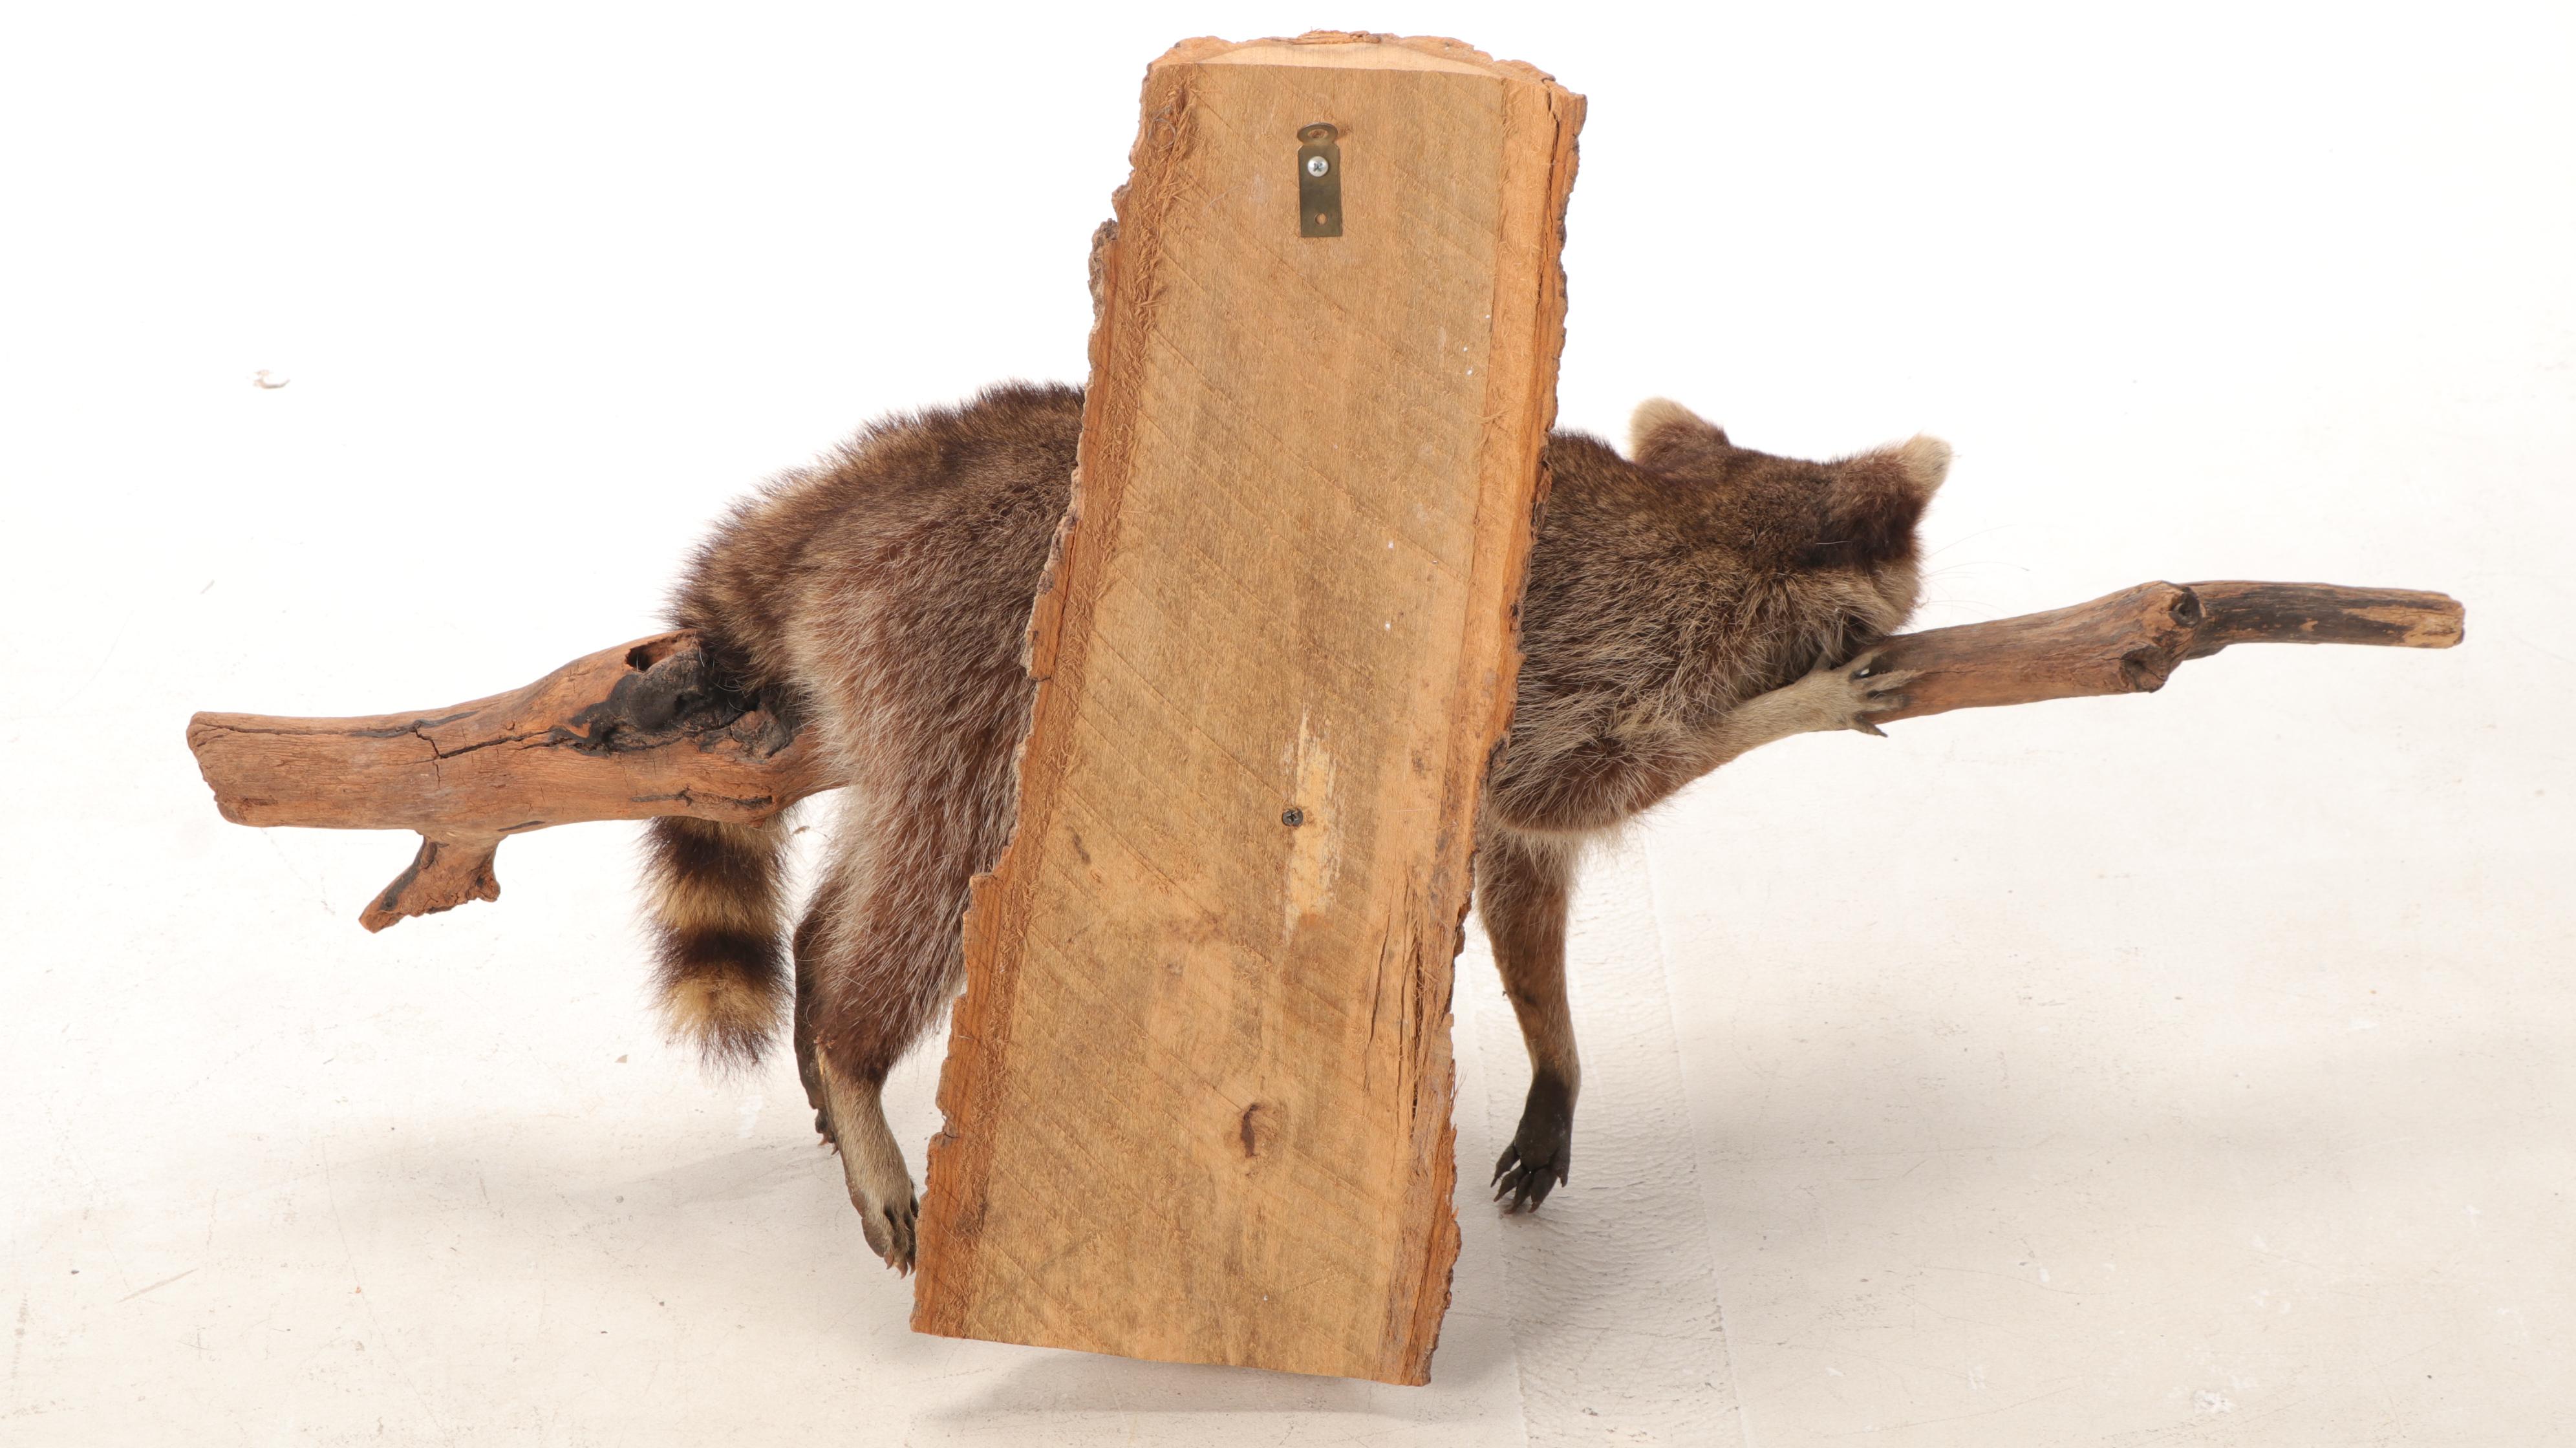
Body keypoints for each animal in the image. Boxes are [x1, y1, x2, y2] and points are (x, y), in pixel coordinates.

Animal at [646, 384, 1946, 1271]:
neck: (1716, 519)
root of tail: (861, 497)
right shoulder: (1592, 655)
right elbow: (1570, 792)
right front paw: (1792, 705)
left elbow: (1521, 872)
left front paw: (1555, 1049)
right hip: (957, 651)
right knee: (944, 868)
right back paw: (853, 1053)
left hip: (896, 687)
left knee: (885, 853)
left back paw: (821, 984)